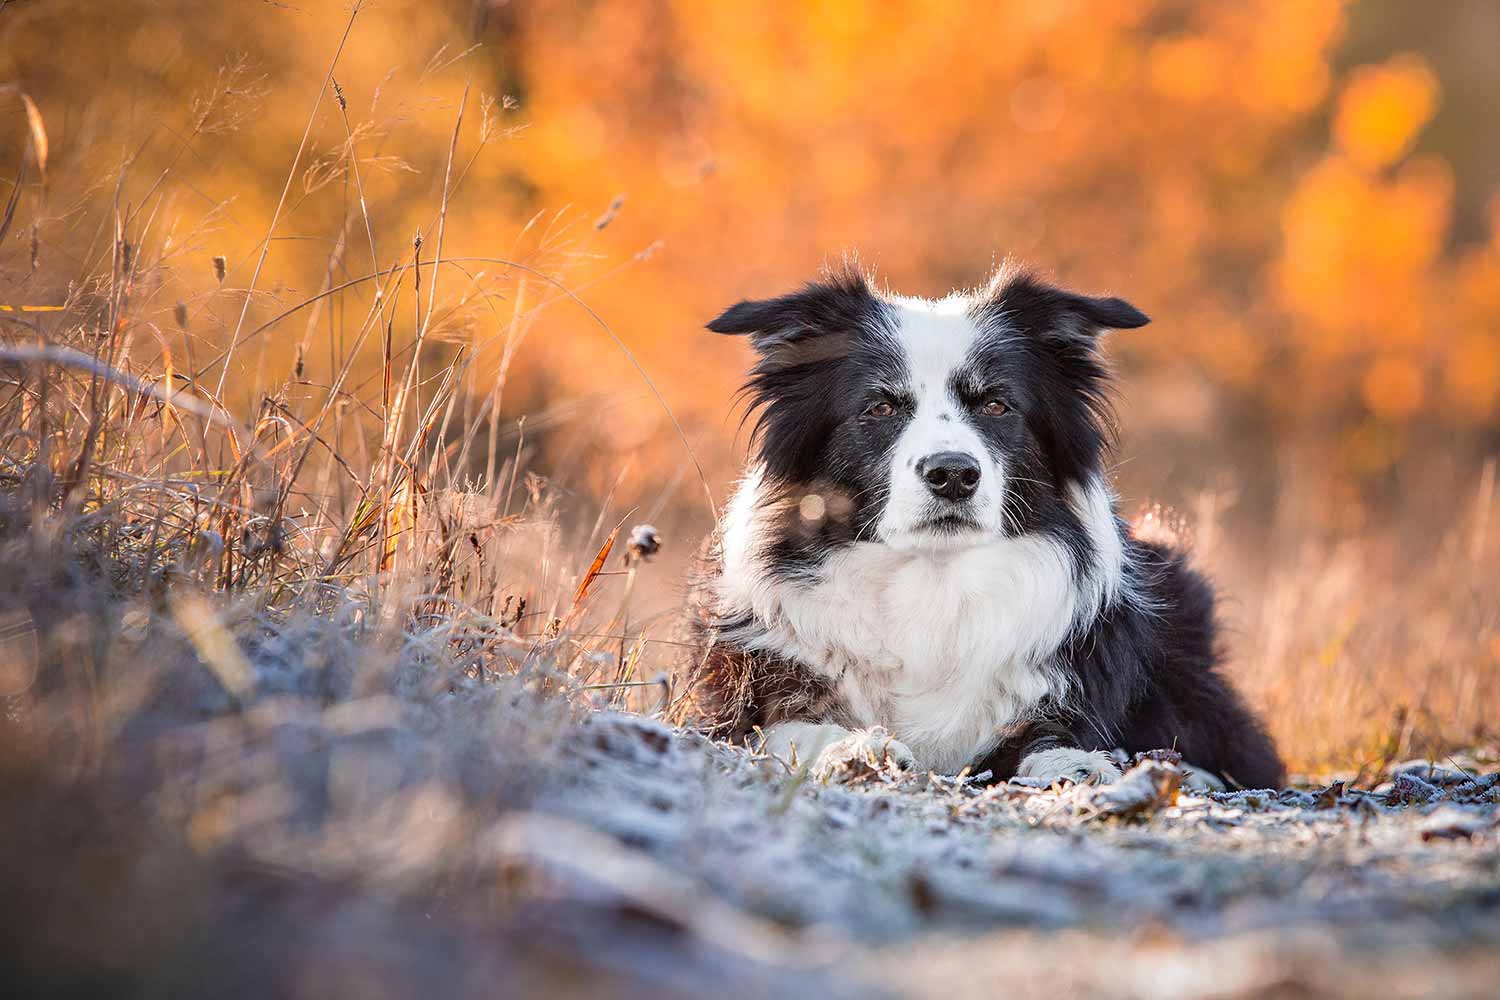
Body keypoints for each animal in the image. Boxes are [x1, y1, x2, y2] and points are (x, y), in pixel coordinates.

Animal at [687, 263, 1284, 791]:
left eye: (996, 405)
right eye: (879, 407)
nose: (953, 473)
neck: (933, 584)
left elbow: (1049, 730)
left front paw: (1072, 761)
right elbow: (787, 725)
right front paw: (858, 746)